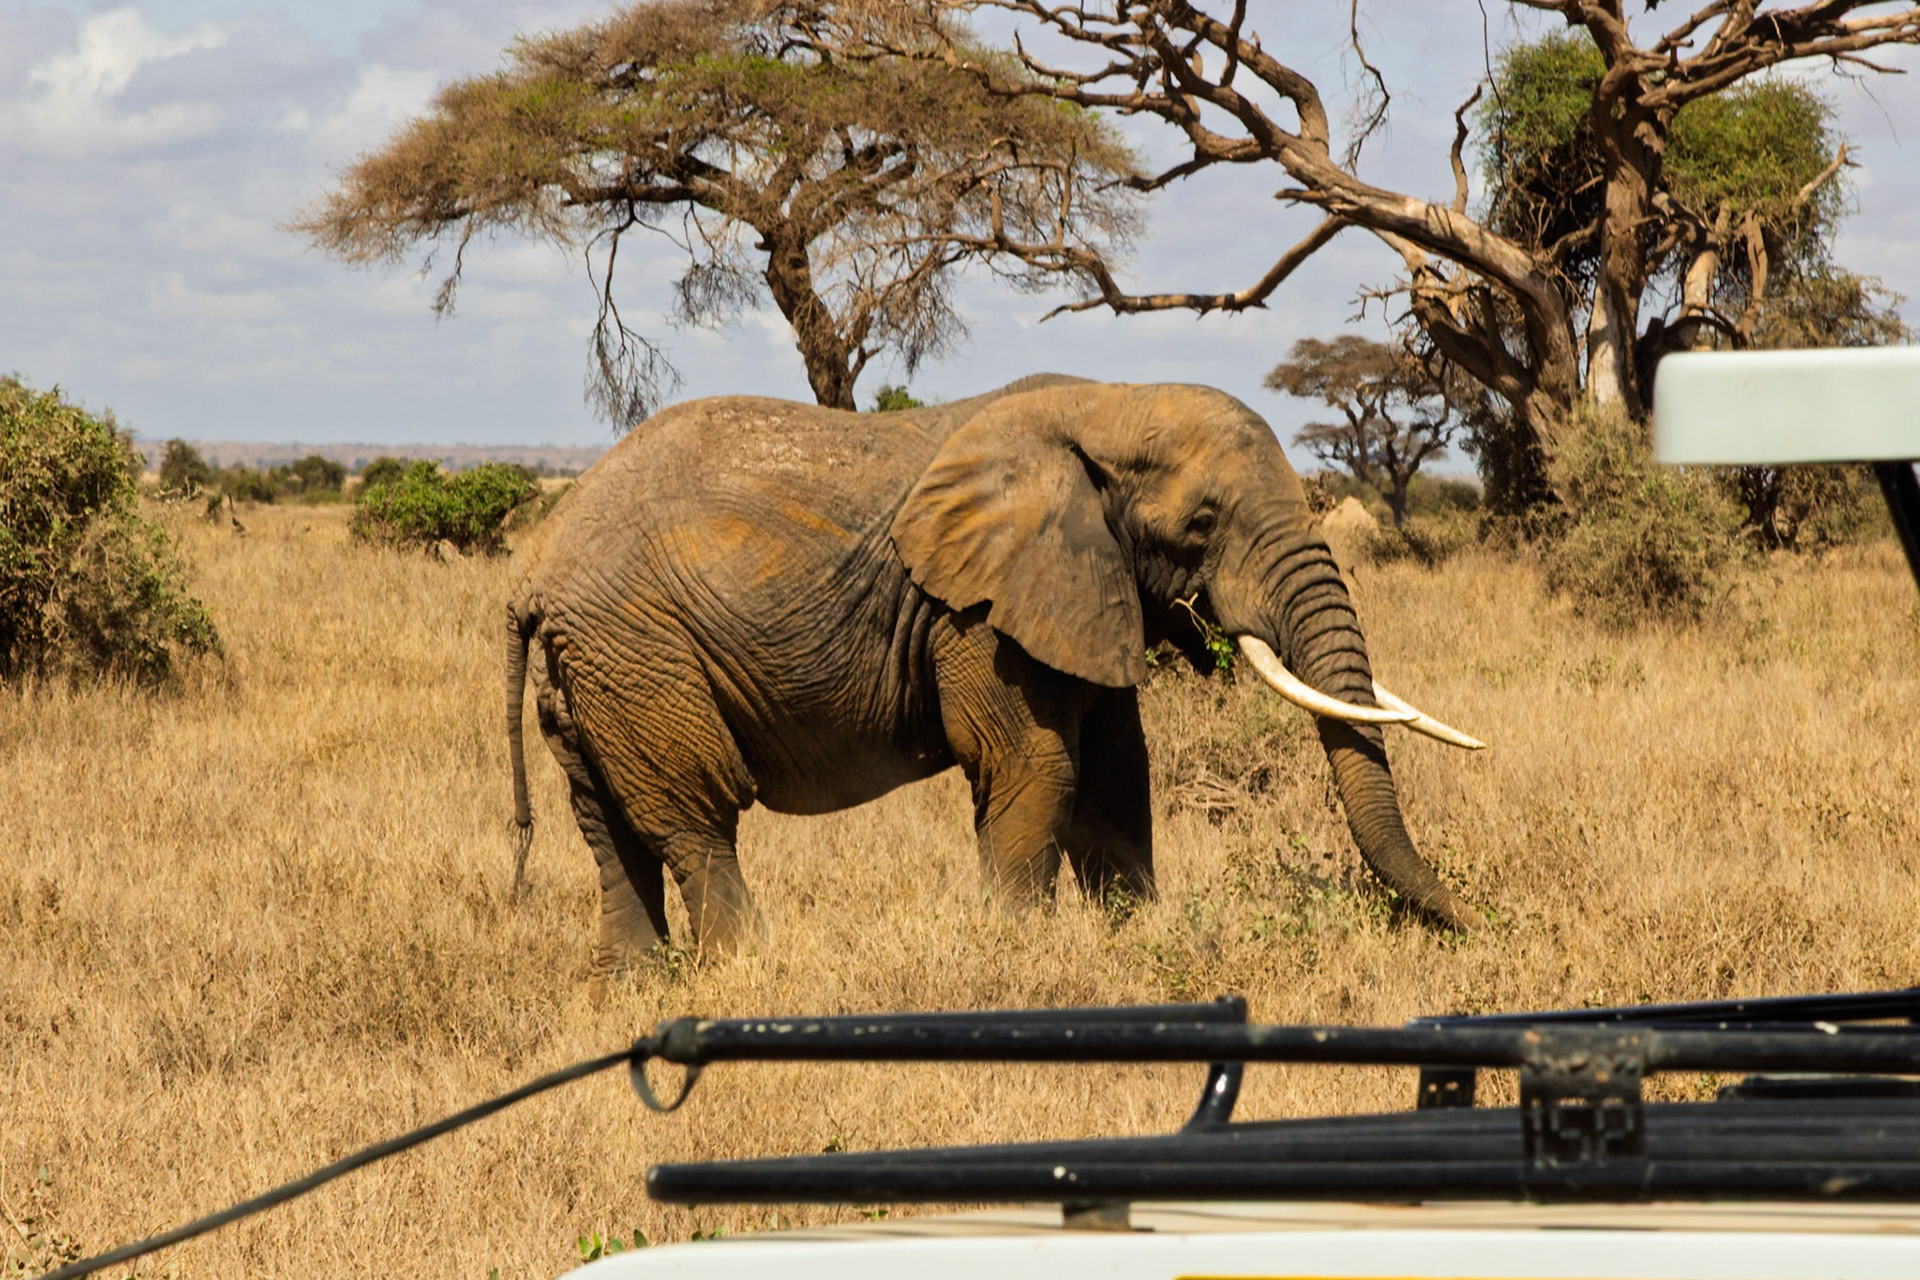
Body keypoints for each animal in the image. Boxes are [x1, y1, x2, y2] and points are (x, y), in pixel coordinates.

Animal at [505, 375, 1484, 972]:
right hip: (641, 649)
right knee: (695, 816)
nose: (1473, 924)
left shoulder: (1082, 592)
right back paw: (752, 969)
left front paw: (1138, 939)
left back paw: (633, 984)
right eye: (1202, 525)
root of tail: (532, 573)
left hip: (591, 671)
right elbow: (1035, 765)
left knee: (606, 823)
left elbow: (1116, 775)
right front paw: (1022, 953)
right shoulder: (981, 611)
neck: (1106, 404)